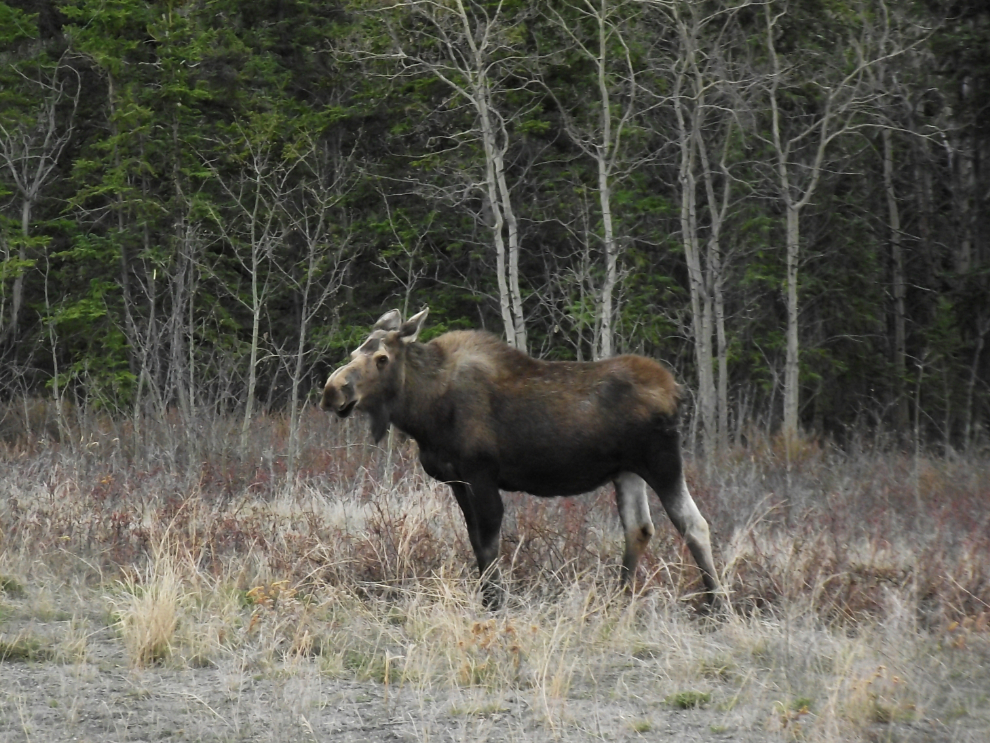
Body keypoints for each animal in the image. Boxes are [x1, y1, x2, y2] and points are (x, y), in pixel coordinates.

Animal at [324, 308, 720, 612]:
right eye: (353, 354)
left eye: (382, 358)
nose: (332, 391)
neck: (423, 410)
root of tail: (678, 392)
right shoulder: (457, 481)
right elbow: (475, 541)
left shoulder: (480, 473)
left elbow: (488, 543)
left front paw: (494, 604)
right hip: (626, 471)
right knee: (639, 528)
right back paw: (620, 598)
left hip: (662, 461)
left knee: (694, 524)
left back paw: (715, 605)